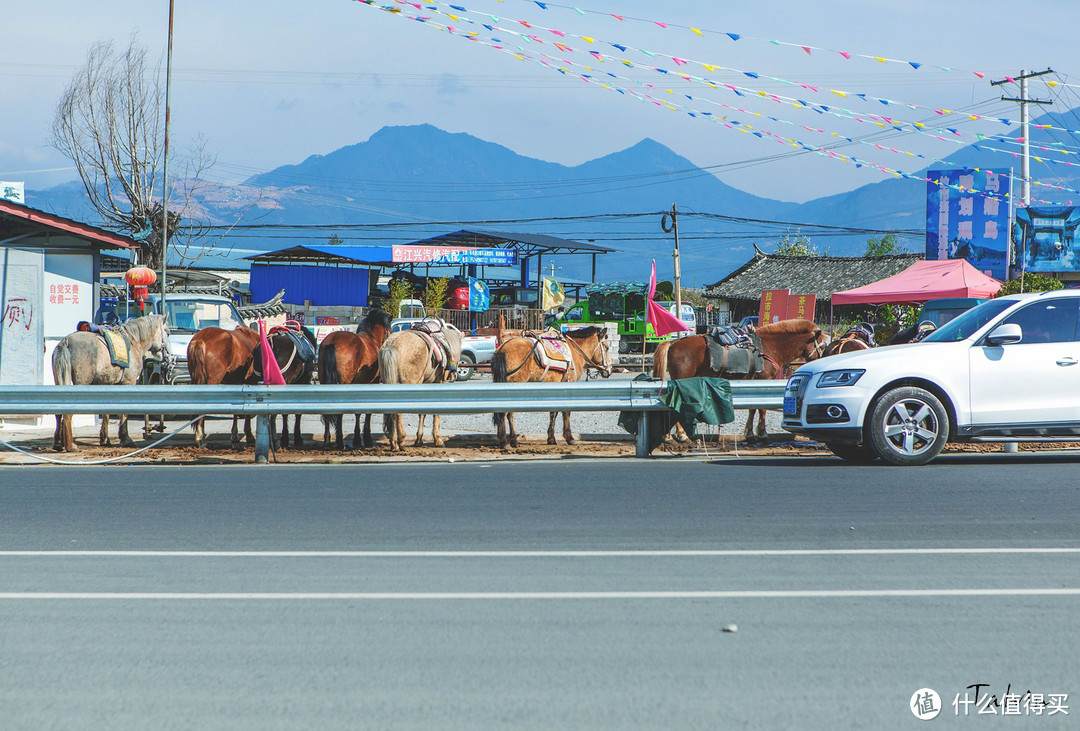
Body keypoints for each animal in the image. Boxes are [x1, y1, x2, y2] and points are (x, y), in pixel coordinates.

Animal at [52, 313, 170, 451]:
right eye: (168, 332)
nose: (168, 357)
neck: (135, 342)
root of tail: (66, 341)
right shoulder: (128, 383)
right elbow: (123, 412)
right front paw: (126, 439)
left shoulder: (107, 384)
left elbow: (106, 412)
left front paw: (104, 439)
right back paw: (71, 445)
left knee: (58, 413)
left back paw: (58, 443)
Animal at [315, 306, 393, 447]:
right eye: (389, 331)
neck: (372, 339)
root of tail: (332, 342)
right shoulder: (372, 383)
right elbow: (364, 411)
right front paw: (364, 438)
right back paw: (339, 441)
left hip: (324, 382)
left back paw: (327, 440)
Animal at [378, 321, 462, 451]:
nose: (454, 373)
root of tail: (391, 345)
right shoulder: (438, 383)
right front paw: (438, 440)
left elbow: (422, 412)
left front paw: (419, 440)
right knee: (398, 412)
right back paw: (401, 440)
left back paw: (393, 443)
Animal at [648, 317, 825, 438]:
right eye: (822, 346)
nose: (823, 359)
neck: (769, 347)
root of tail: (674, 343)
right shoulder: (764, 380)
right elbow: (761, 408)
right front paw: (762, 432)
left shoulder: (753, 383)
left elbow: (753, 408)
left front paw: (750, 432)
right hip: (682, 378)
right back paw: (681, 434)